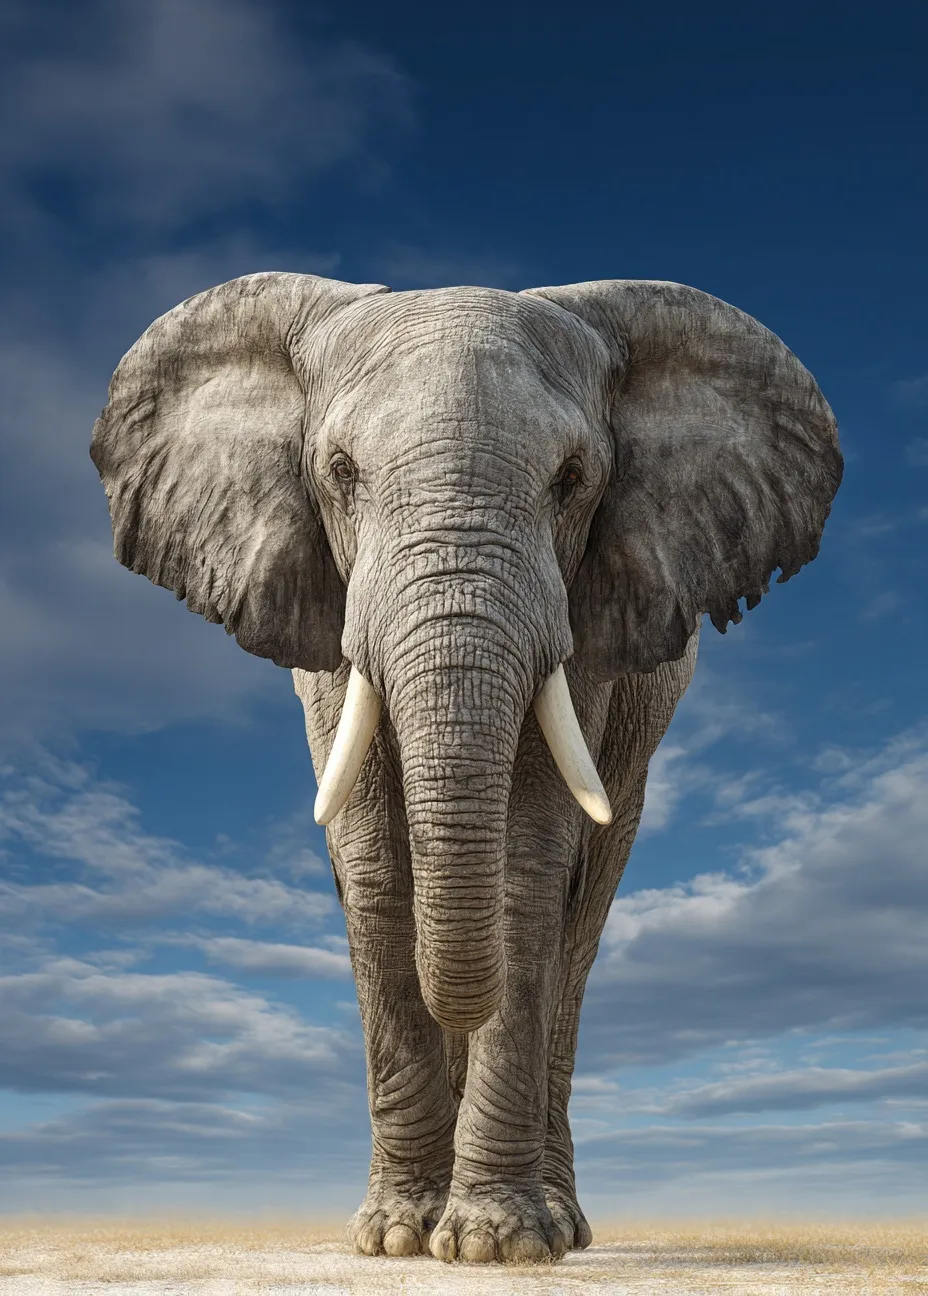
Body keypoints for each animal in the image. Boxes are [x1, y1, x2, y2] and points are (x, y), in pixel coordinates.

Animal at [90, 271, 841, 1264]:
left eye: (572, 481)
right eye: (340, 472)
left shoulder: (587, 624)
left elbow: (529, 869)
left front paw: (497, 1242)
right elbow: (373, 866)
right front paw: (396, 1235)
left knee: (582, 925)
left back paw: (565, 1224)